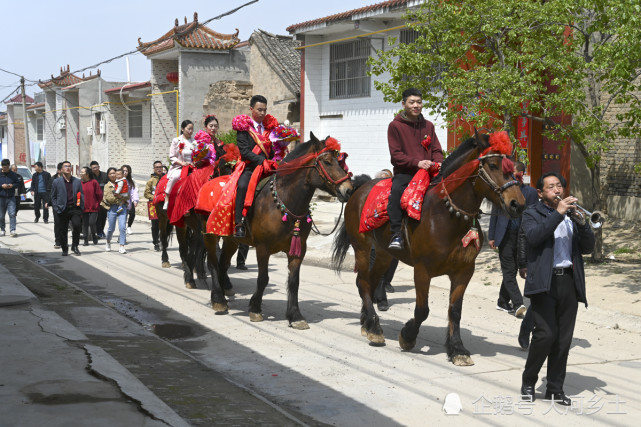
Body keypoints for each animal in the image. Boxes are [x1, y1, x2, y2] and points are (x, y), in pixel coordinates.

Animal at [205, 135, 352, 330]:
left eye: (339, 161)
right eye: (327, 162)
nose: (348, 189)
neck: (286, 202)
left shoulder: (298, 249)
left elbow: (294, 282)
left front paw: (295, 316)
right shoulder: (263, 248)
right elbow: (263, 278)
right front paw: (255, 308)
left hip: (231, 240)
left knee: (223, 264)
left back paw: (222, 295)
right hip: (210, 234)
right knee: (213, 263)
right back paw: (218, 300)